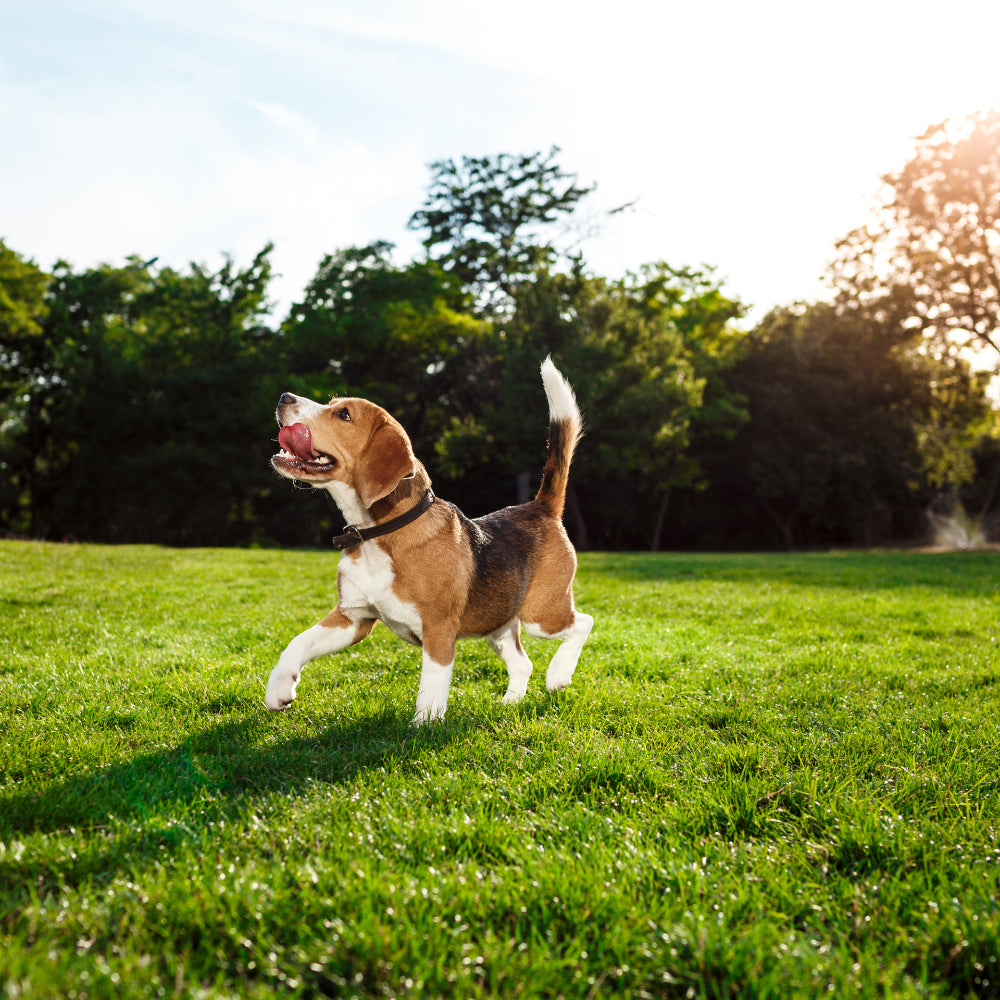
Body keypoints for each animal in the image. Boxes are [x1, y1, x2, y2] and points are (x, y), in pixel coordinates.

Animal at [266, 356, 592, 724]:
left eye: (344, 415)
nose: (284, 397)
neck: (379, 534)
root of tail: (539, 507)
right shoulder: (353, 617)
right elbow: (298, 642)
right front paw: (279, 690)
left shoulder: (438, 630)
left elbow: (431, 688)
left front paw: (424, 726)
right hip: (499, 624)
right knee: (523, 663)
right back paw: (510, 703)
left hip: (542, 615)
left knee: (583, 623)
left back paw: (559, 675)